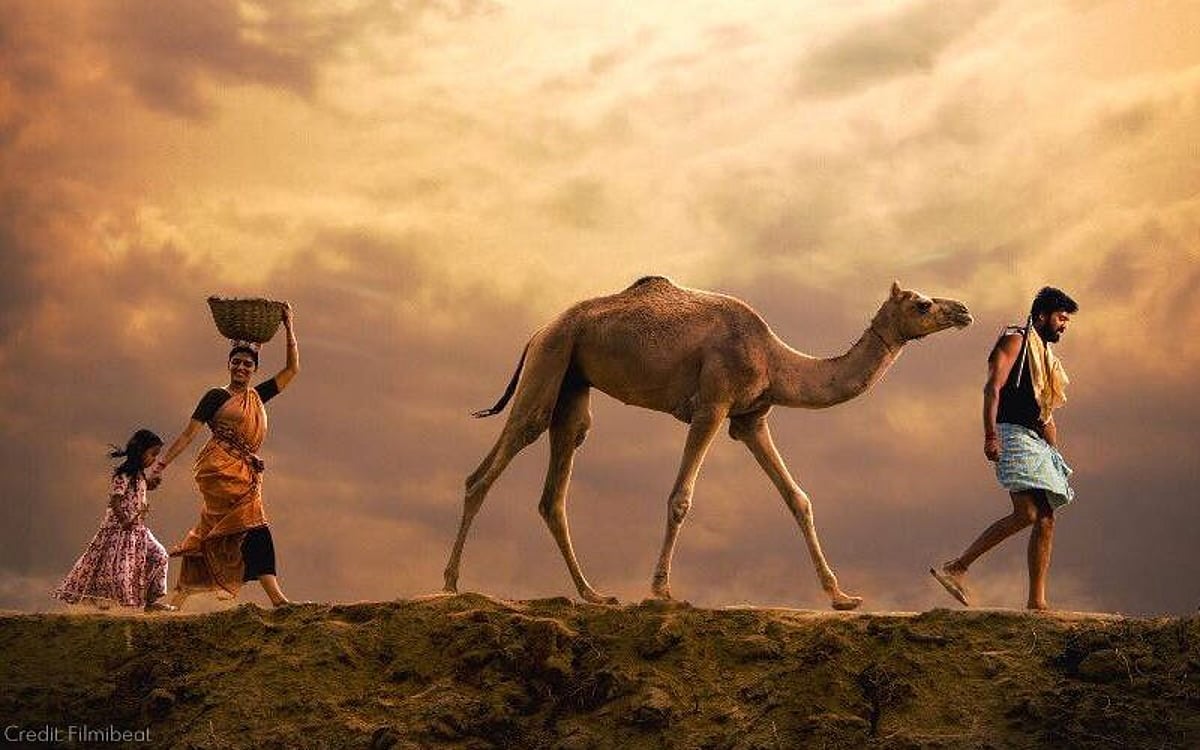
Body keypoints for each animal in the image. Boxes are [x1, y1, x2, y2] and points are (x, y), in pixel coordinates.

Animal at [443, 276, 972, 610]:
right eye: (922, 304)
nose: (964, 311)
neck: (778, 360)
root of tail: (537, 331)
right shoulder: (712, 404)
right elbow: (681, 497)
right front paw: (661, 591)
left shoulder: (751, 419)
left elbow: (798, 499)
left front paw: (841, 597)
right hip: (550, 360)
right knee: (489, 466)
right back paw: (450, 584)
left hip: (572, 382)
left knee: (555, 487)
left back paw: (594, 595)